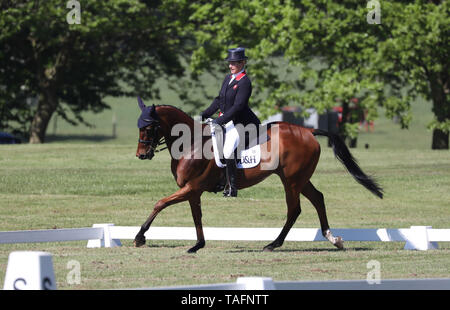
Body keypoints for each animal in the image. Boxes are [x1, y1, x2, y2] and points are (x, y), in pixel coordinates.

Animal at [134, 100, 384, 254]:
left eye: (149, 127)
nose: (141, 155)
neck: (191, 143)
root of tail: (308, 131)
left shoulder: (192, 187)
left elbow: (160, 203)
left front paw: (139, 236)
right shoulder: (193, 191)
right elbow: (197, 217)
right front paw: (198, 245)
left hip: (291, 180)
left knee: (294, 209)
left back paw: (273, 244)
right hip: (299, 179)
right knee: (318, 198)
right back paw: (333, 239)